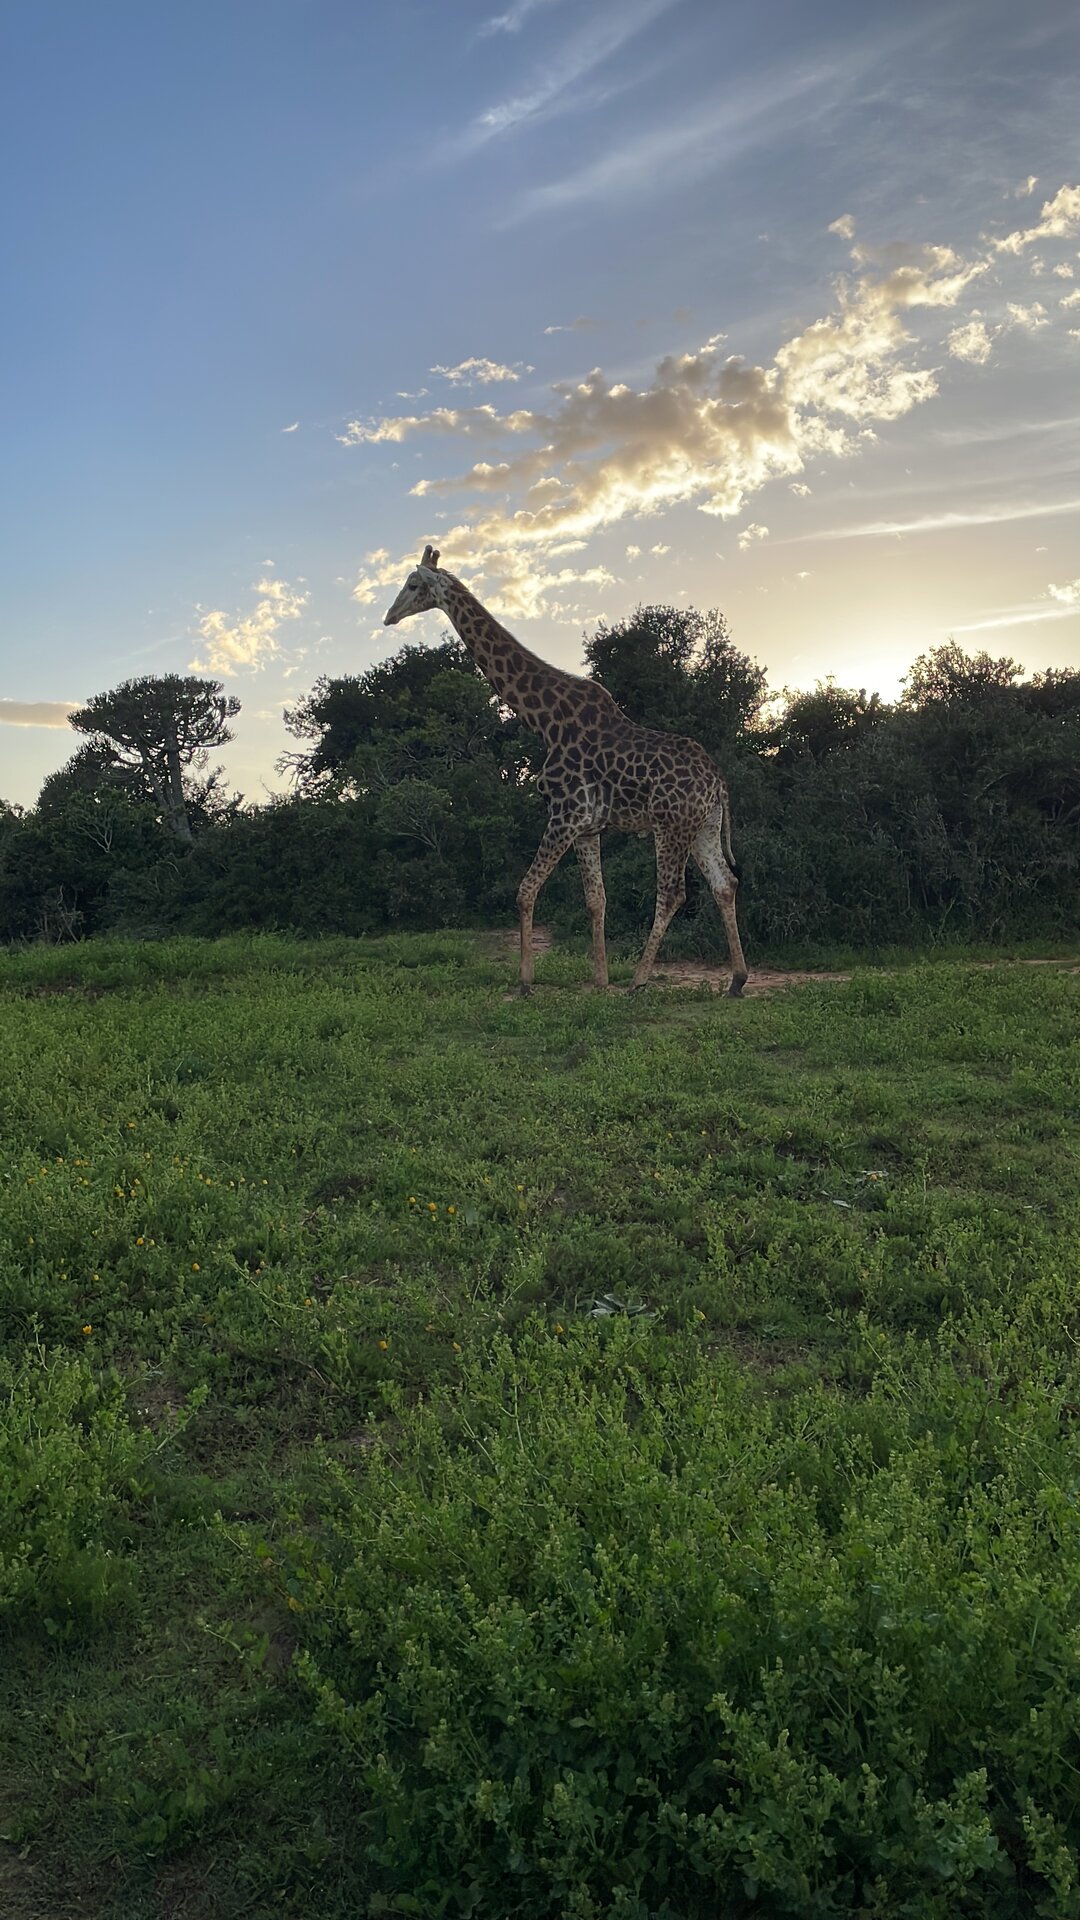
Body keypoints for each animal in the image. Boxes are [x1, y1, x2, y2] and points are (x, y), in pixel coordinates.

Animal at [384, 547, 748, 998]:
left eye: (413, 584)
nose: (389, 616)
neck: (544, 721)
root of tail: (718, 784)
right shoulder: (588, 827)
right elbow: (596, 900)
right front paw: (600, 980)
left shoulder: (563, 814)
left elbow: (525, 891)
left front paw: (525, 982)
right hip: (703, 826)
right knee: (724, 884)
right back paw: (736, 980)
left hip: (671, 825)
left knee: (672, 894)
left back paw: (640, 980)